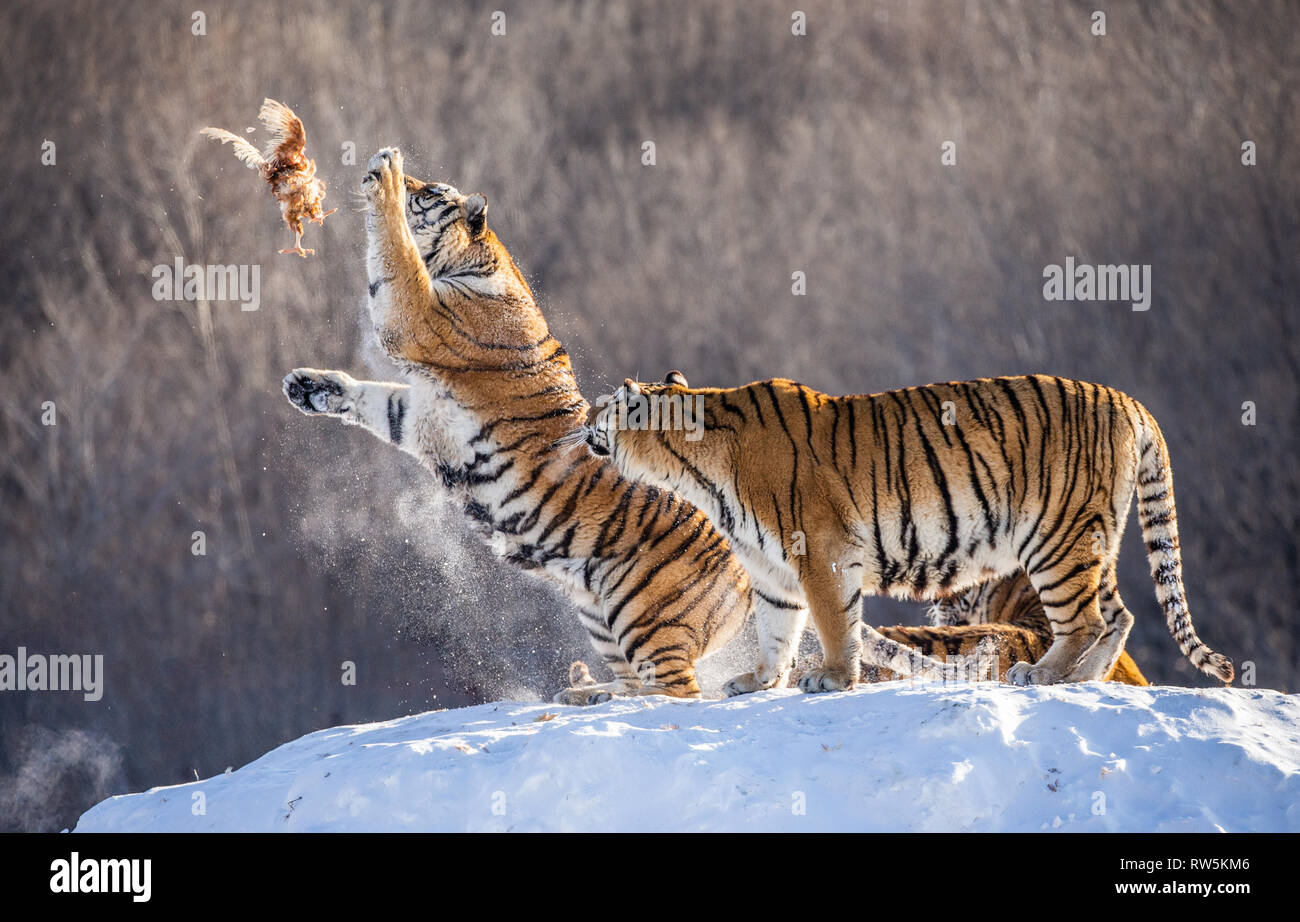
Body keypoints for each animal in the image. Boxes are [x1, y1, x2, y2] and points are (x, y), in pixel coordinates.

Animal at [574, 369, 1232, 686]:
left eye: (604, 405)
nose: (582, 418)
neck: (693, 471)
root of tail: (1130, 402)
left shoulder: (822, 552)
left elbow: (835, 623)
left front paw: (832, 679)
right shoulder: (772, 570)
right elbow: (775, 630)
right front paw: (759, 681)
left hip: (1055, 540)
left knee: (1086, 620)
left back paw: (1043, 675)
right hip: (1091, 538)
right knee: (1121, 615)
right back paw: (1084, 680)